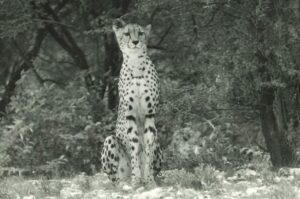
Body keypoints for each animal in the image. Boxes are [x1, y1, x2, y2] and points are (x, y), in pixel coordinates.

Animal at [101, 21, 162, 187]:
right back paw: (125, 183)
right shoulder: (130, 115)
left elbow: (147, 149)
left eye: (140, 33)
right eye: (127, 33)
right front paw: (136, 179)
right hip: (110, 140)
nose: (135, 42)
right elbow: (134, 146)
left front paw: (149, 180)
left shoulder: (149, 114)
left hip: (158, 143)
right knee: (114, 179)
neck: (136, 64)